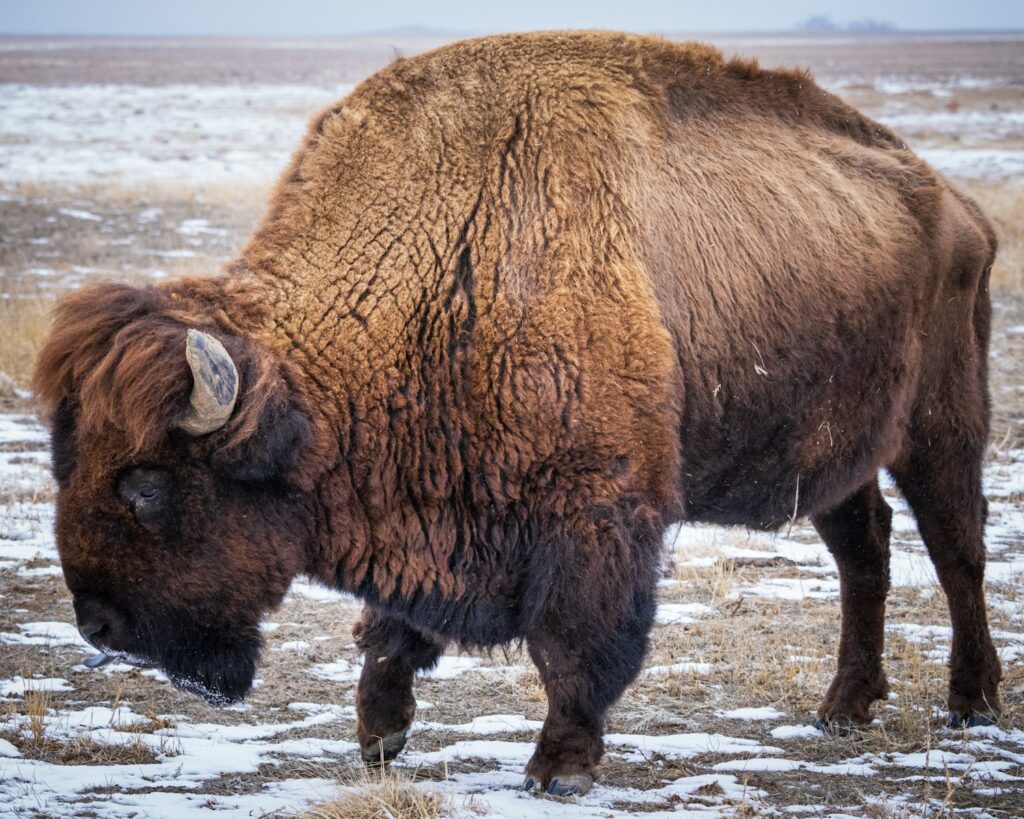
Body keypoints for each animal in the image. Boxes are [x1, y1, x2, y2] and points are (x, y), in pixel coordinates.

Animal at [34, 31, 1001, 795]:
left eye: (147, 485)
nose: (98, 623)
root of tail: (961, 206)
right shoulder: (417, 499)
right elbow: (389, 631)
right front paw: (378, 738)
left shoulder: (595, 516)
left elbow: (573, 646)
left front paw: (558, 766)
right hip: (838, 452)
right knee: (863, 549)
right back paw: (843, 707)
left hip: (942, 426)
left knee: (955, 548)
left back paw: (973, 702)